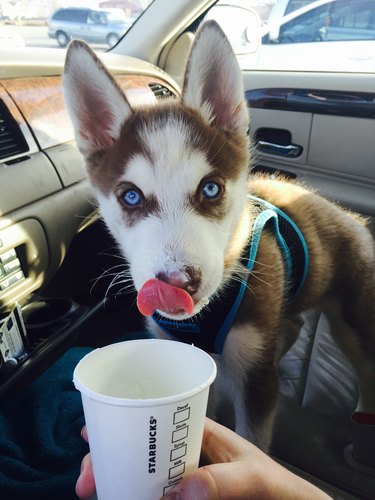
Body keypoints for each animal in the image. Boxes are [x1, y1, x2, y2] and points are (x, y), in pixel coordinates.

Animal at [63, 20, 374, 450]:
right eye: (131, 196)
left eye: (210, 189)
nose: (176, 283)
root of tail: (351, 217)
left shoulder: (258, 382)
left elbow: (252, 439)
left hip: (352, 317)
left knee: (363, 356)